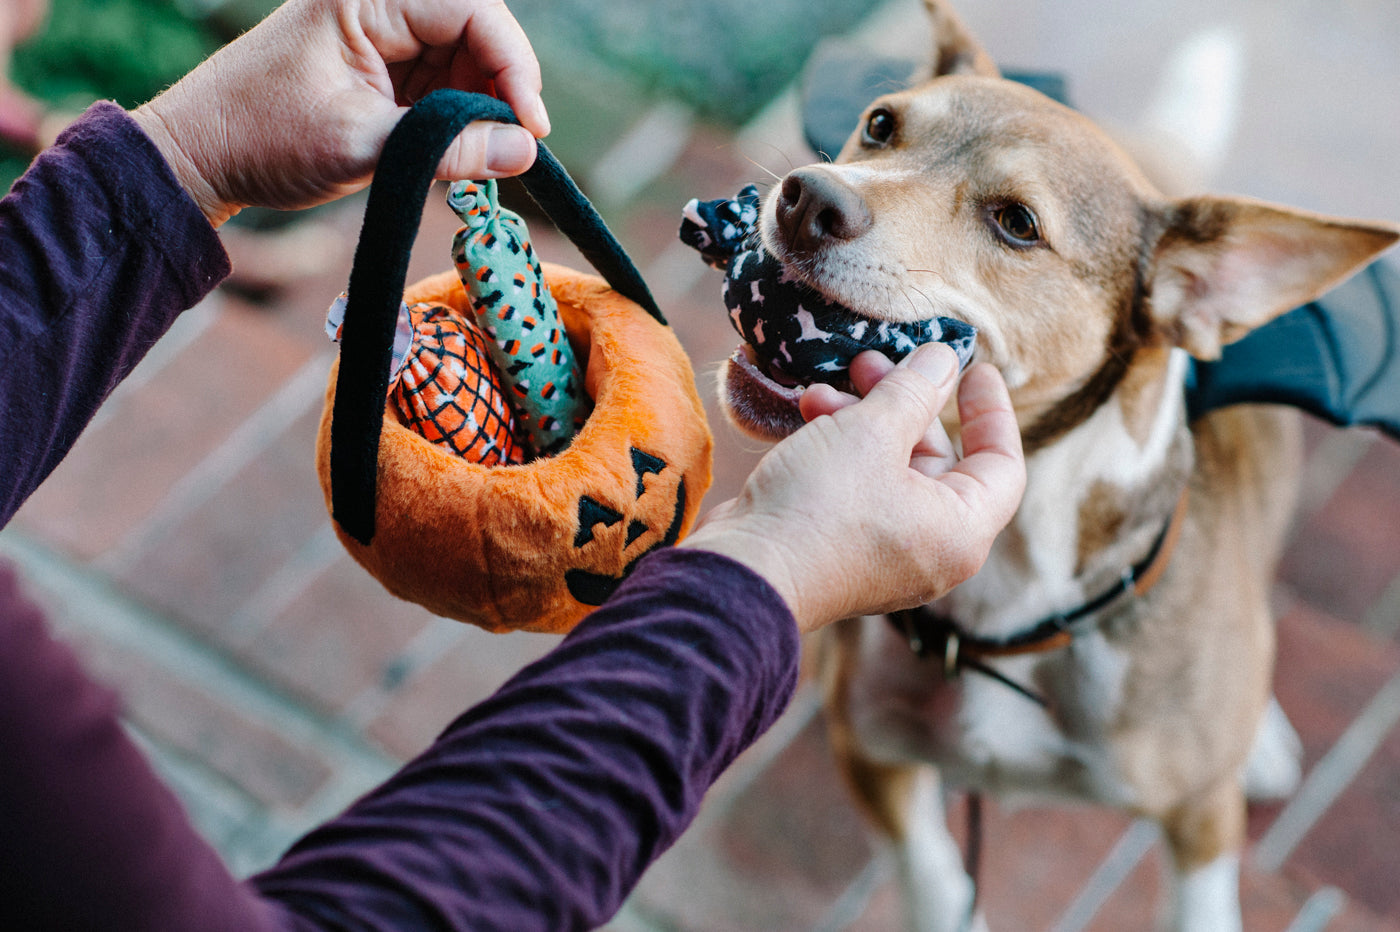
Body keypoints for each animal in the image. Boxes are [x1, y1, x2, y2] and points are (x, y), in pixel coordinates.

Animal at [722, 3, 1400, 923]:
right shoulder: (868, 748)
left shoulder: (1199, 815)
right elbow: (935, 880)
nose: (807, 197)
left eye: (1018, 223)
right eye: (880, 125)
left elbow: (1205, 903)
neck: (1013, 569)